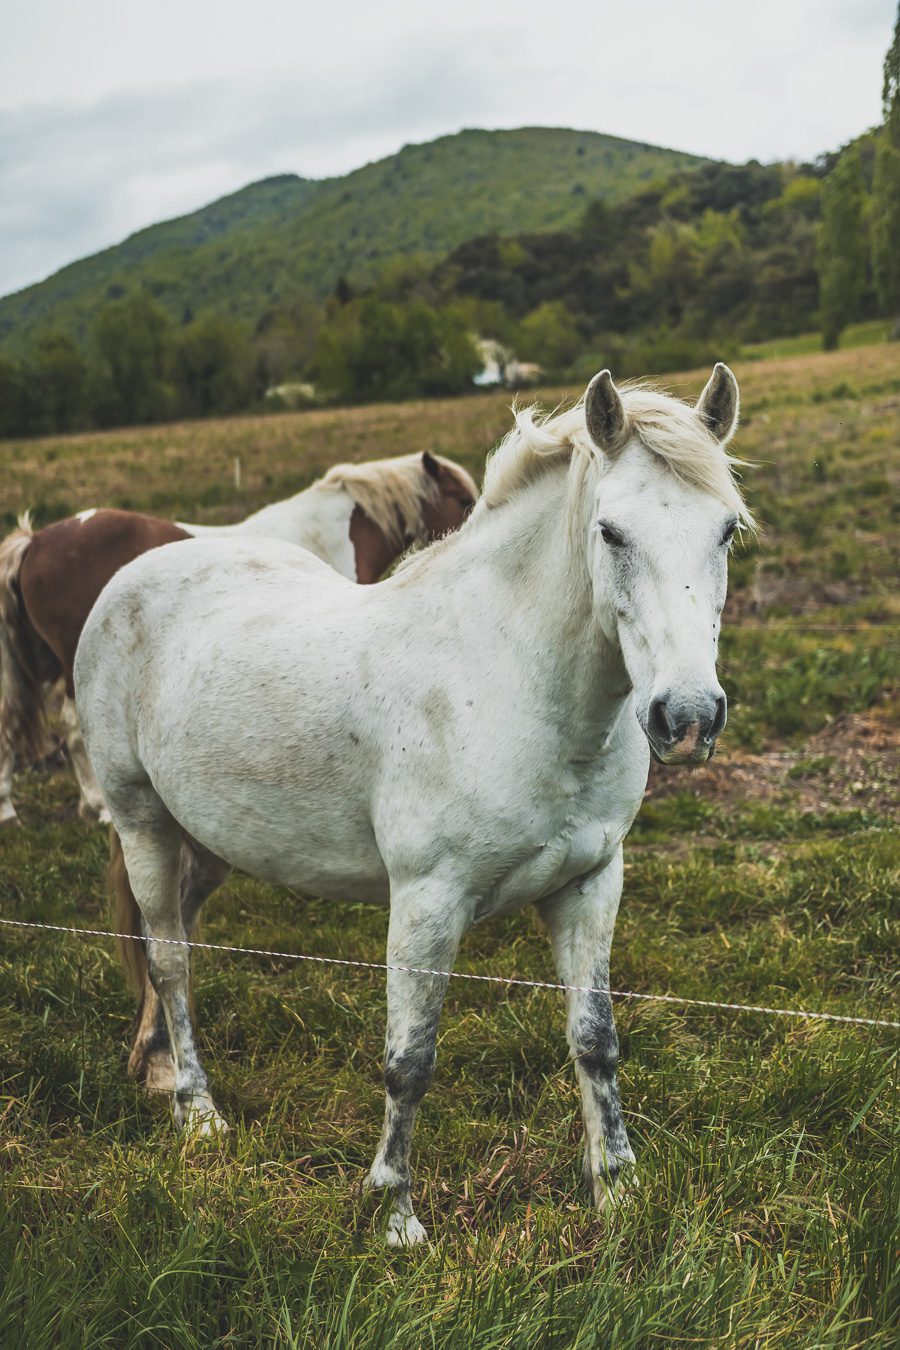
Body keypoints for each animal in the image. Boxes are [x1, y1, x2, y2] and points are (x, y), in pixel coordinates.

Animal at [77, 367, 750, 1242]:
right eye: (611, 533)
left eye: (727, 531)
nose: (688, 717)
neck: (509, 679)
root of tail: (135, 573)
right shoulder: (429, 900)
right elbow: (410, 1060)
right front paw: (393, 1214)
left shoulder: (591, 883)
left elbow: (595, 1039)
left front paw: (619, 1189)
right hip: (142, 822)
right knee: (170, 957)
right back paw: (198, 1113)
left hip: (211, 840)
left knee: (174, 940)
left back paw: (156, 1069)